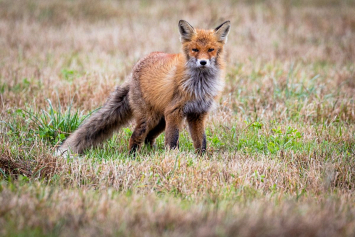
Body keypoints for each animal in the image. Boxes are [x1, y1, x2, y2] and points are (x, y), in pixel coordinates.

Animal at [57, 19, 231, 156]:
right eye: (195, 50)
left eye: (211, 50)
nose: (203, 62)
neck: (199, 85)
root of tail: (134, 70)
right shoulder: (175, 112)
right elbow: (172, 141)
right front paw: (173, 159)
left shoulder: (198, 113)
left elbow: (201, 142)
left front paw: (202, 159)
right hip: (150, 119)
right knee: (136, 136)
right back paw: (133, 157)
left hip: (160, 120)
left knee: (149, 138)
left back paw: (151, 153)